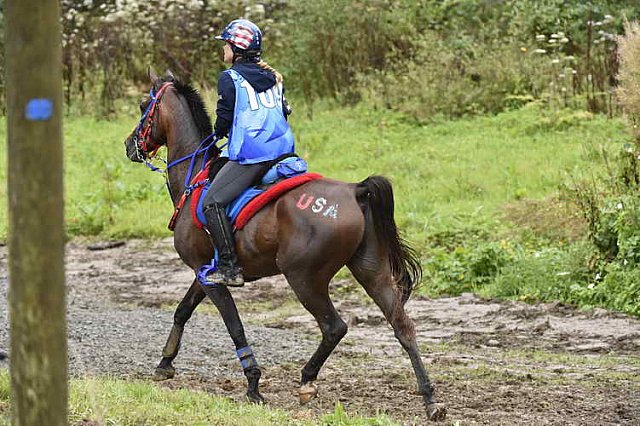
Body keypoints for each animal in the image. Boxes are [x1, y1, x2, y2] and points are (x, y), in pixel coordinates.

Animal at [124, 71, 444, 422]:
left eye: (142, 106)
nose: (129, 145)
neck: (195, 176)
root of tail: (356, 191)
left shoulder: (210, 277)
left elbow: (234, 326)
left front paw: (253, 384)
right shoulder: (204, 271)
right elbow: (182, 310)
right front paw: (165, 363)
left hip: (304, 278)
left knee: (334, 327)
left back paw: (307, 380)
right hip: (371, 271)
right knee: (402, 326)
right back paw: (430, 399)